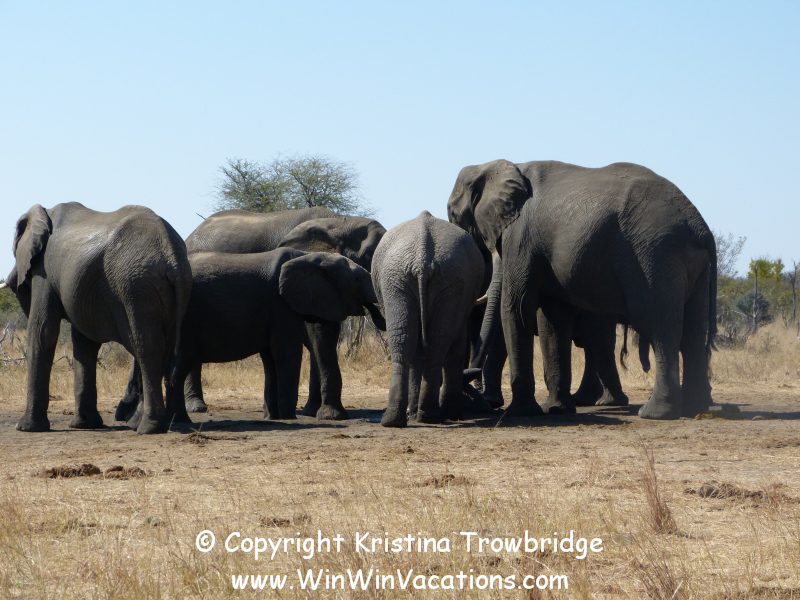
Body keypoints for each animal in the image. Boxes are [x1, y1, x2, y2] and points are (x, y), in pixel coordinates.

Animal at [1, 202, 192, 434]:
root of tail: (170, 253)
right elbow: (85, 344)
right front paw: (84, 425)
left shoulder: (44, 269)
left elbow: (43, 331)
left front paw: (26, 428)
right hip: (171, 289)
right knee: (164, 346)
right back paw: (139, 423)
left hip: (136, 286)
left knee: (147, 348)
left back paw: (148, 428)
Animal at [117, 207, 386, 417]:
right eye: (368, 256)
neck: (340, 220)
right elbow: (317, 334)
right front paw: (328, 415)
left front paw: (313, 411)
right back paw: (196, 408)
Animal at [371, 211, 484, 427]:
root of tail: (422, 258)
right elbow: (456, 347)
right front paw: (453, 414)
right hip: (419, 279)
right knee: (436, 342)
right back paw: (428, 416)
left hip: (400, 280)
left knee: (405, 340)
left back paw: (399, 419)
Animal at [448, 160, 716, 420]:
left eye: (452, 213)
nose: (477, 398)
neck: (496, 166)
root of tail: (699, 225)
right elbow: (553, 319)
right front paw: (556, 409)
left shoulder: (520, 237)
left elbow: (517, 308)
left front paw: (521, 412)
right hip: (687, 263)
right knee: (693, 332)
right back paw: (695, 409)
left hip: (656, 255)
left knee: (661, 328)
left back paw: (655, 414)